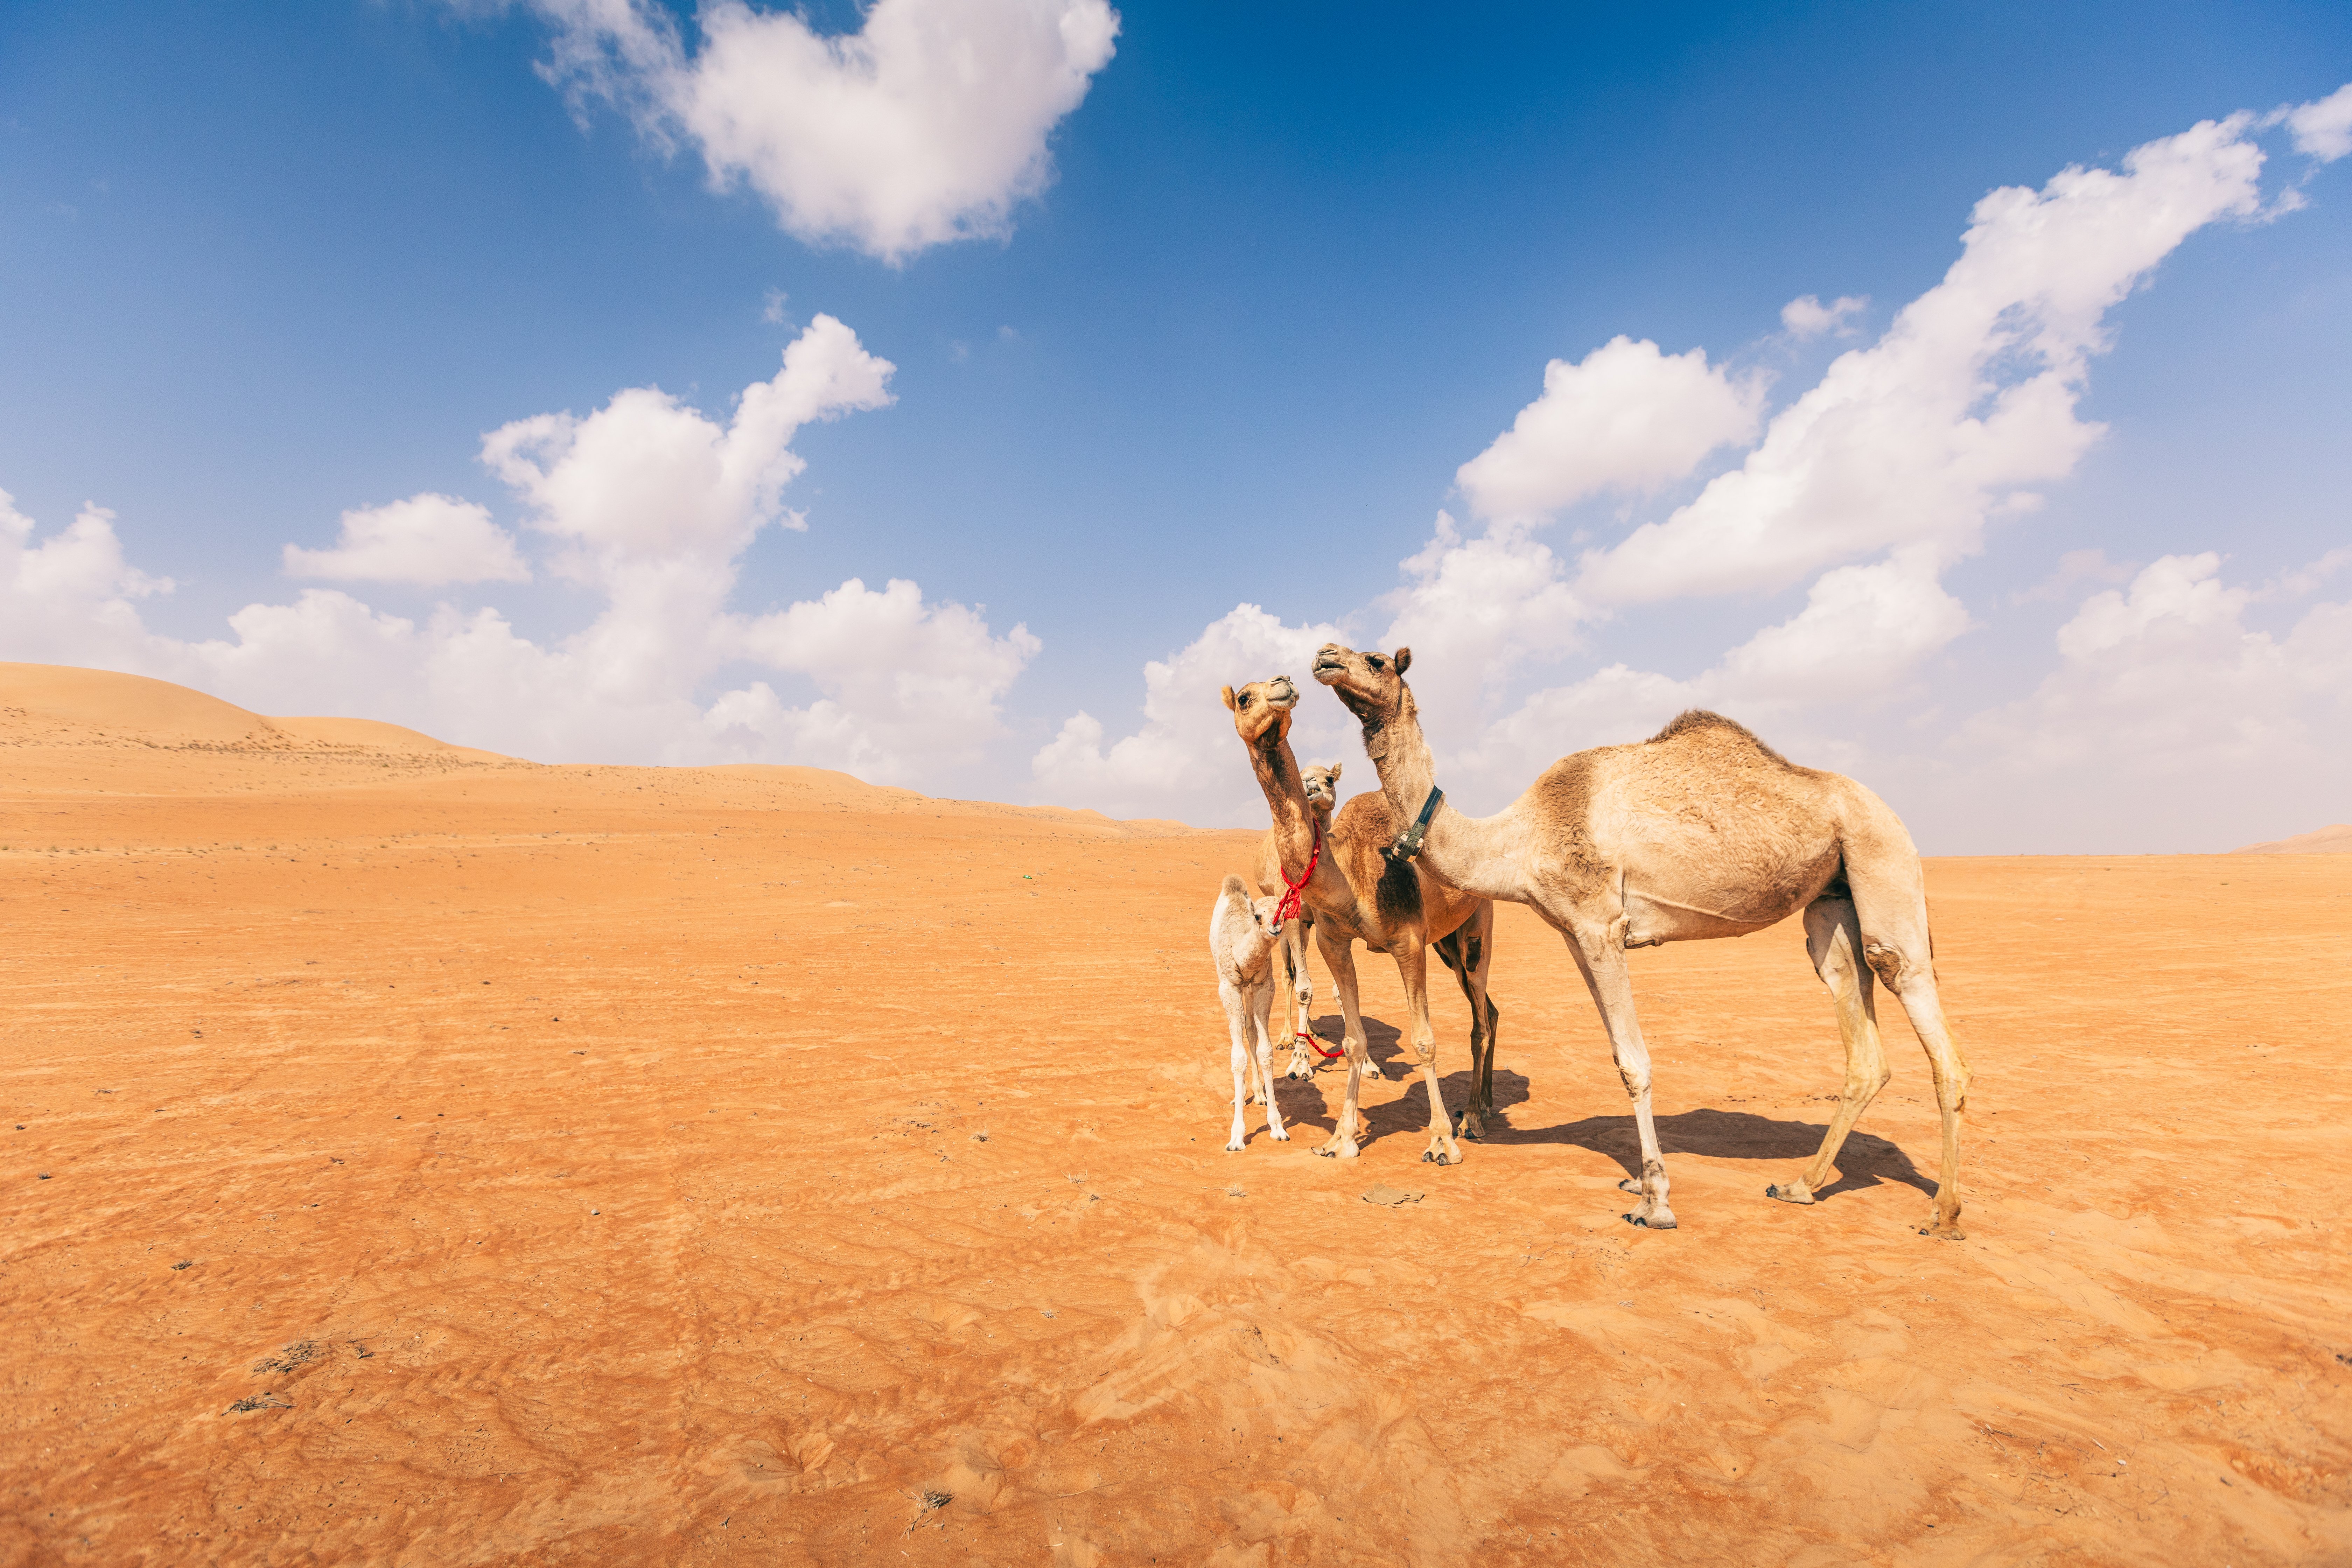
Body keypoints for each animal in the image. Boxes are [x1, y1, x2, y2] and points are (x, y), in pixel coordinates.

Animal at [1204, 870, 1298, 1152]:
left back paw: (1259, 1094)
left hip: (1250, 989)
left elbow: (1265, 1051)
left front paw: (1278, 1127)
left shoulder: (1264, 985)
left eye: (1283, 910)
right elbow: (1238, 1057)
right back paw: (1241, 1097)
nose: (1275, 927)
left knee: (1251, 1029)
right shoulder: (1230, 987)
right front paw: (1236, 1137)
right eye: (1258, 916)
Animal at [1223, 677, 1496, 1166]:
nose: (1283, 685)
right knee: (1489, 1012)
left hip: (1476, 929)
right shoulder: (1331, 938)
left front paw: (1441, 1142)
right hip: (1445, 944)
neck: (1348, 870)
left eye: (1331, 778)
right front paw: (1341, 1137)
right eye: (1244, 697)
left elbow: (1424, 1041)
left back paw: (1471, 1119)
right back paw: (1484, 1104)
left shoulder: (1408, 942)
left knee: (1480, 1020)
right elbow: (1352, 1039)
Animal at [1317, 639, 1975, 1241]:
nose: (1325, 657)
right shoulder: (1576, 933)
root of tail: (1889, 812)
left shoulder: (1599, 926)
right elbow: (1617, 1053)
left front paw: (1655, 1200)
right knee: (1857, 1025)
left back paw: (1943, 1213)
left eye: (1376, 660)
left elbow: (1634, 1063)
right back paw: (1800, 1185)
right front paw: (1638, 1178)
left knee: (1918, 1001)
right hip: (1833, 900)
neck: (1517, 841)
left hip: (1882, 852)